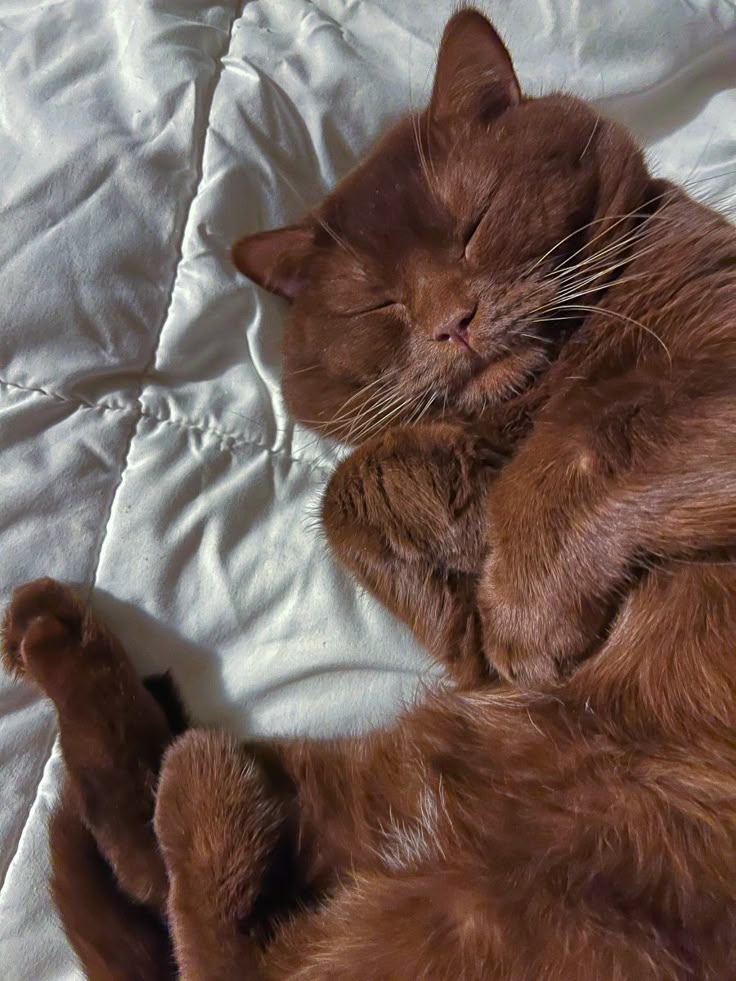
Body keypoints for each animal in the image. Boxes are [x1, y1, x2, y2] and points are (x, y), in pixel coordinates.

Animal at [4, 9, 736, 980]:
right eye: (377, 306)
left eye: (475, 225)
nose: (452, 320)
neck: (538, 387)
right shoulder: (469, 643)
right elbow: (355, 484)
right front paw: (453, 565)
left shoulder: (689, 384)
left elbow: (593, 437)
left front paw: (521, 608)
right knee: (159, 877)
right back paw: (60, 639)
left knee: (201, 921)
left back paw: (196, 787)